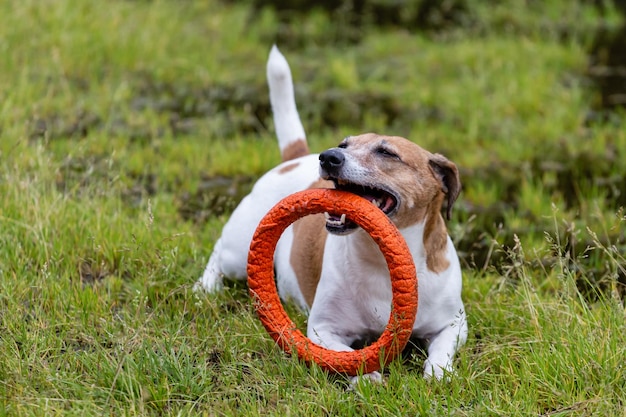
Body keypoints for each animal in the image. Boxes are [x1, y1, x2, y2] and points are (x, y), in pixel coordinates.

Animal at [197, 45, 466, 380]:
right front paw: (367, 378)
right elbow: (348, 356)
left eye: (387, 152)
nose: (328, 157)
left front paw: (439, 375)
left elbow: (442, 349)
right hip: (239, 252)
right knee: (220, 252)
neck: (377, 258)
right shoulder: (324, 330)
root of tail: (295, 158)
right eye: (343, 144)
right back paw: (205, 287)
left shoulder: (454, 324)